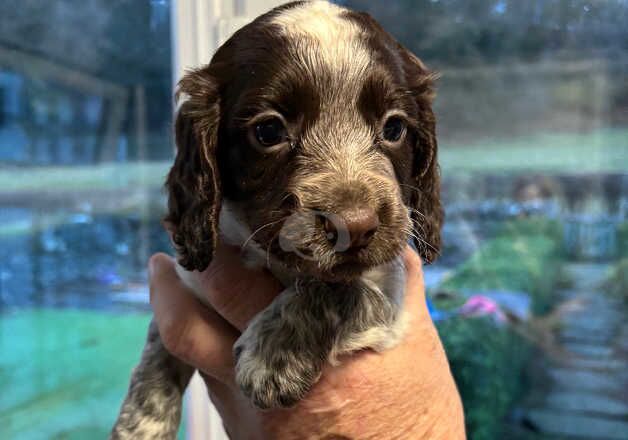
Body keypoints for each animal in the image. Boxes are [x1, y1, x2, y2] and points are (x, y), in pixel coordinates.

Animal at [114, 1, 446, 438]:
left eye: (394, 128)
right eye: (269, 131)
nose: (354, 227)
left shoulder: (390, 287)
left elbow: (337, 287)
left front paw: (274, 354)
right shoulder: (188, 283)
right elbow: (158, 348)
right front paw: (141, 423)